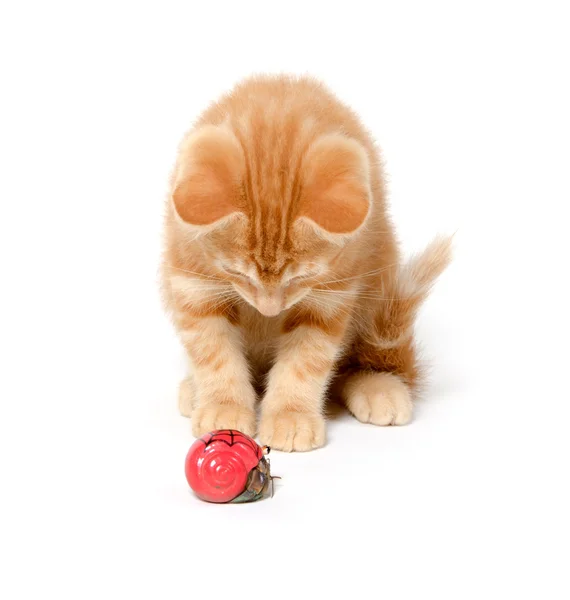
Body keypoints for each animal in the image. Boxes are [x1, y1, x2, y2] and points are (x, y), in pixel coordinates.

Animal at [160, 74, 448, 450]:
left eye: (300, 278)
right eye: (236, 272)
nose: (270, 309)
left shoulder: (332, 294)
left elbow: (305, 360)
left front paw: (291, 416)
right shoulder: (191, 282)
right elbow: (213, 352)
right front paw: (223, 408)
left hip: (381, 282)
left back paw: (378, 386)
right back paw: (194, 389)